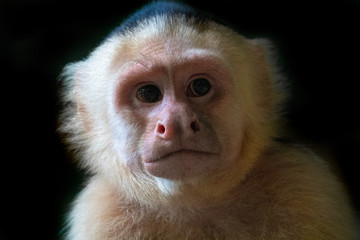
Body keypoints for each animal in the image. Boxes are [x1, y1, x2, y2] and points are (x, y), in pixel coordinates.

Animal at [58, 2, 358, 240]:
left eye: (200, 87)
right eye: (148, 93)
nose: (176, 122)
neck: (196, 203)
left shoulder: (303, 180)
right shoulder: (100, 213)